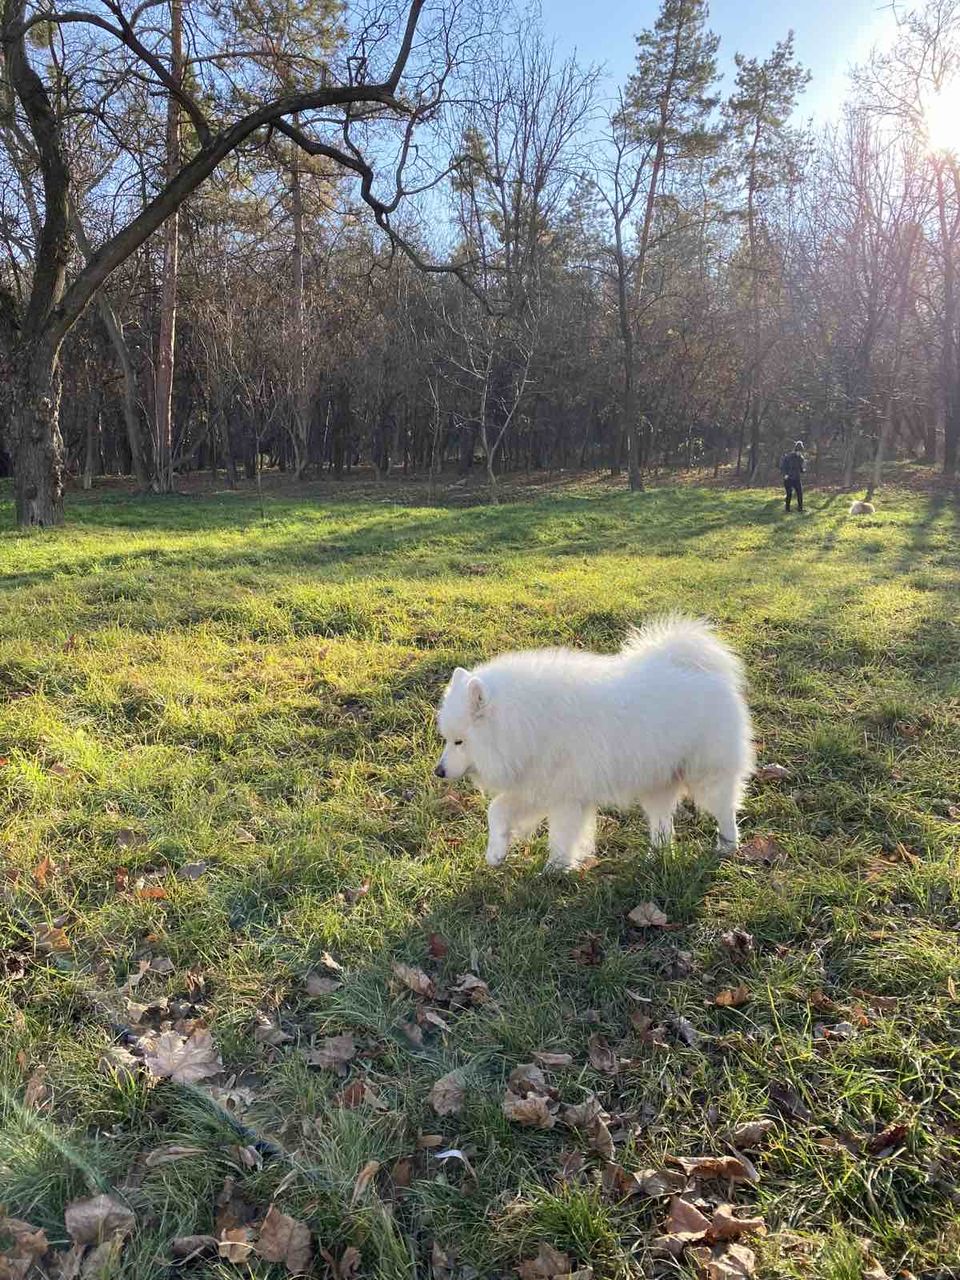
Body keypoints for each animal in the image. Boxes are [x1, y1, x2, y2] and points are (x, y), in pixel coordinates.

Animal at [437, 616, 757, 870]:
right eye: (447, 740)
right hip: (656, 780)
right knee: (662, 826)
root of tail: (701, 670)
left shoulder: (565, 795)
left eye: (459, 741)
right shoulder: (538, 786)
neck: (526, 723)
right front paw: (496, 853)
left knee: (725, 811)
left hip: (707, 773)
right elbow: (497, 810)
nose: (438, 772)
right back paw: (656, 858)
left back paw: (726, 847)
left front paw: (554, 870)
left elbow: (561, 835)